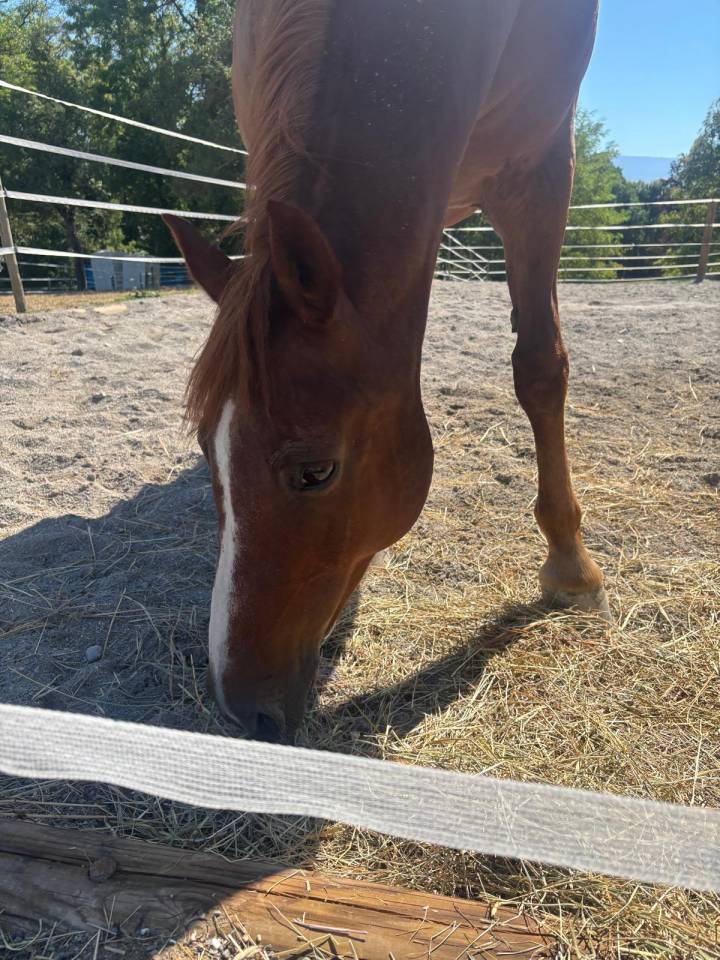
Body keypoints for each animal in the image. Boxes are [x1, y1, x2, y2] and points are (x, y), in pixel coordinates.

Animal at [164, 0, 609, 743]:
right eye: (206, 451)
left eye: (315, 472)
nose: (240, 709)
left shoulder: (542, 164)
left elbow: (540, 366)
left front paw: (571, 567)